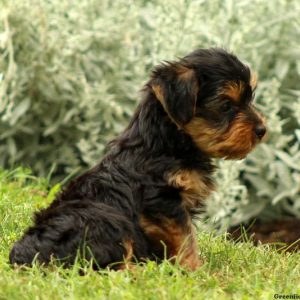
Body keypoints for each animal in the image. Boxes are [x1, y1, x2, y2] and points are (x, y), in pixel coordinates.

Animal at [9, 48, 266, 270]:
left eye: (250, 99)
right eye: (226, 105)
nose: (262, 130)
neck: (168, 143)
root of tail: (24, 256)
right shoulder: (163, 201)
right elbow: (185, 239)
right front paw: (196, 270)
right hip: (107, 220)